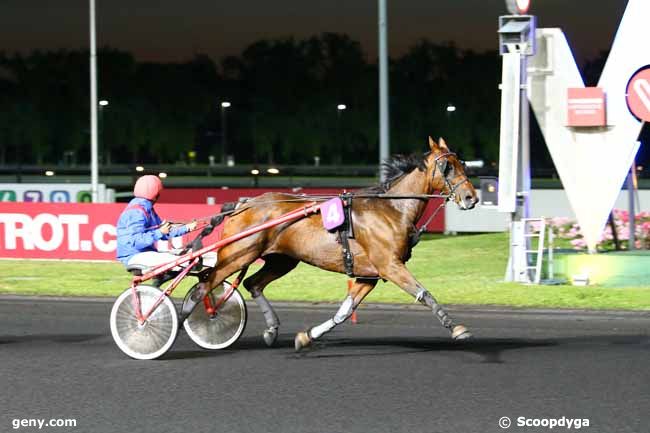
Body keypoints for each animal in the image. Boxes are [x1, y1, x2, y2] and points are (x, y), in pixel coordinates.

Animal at [182, 137, 476, 350]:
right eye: (447, 166)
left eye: (462, 163)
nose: (471, 198)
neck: (391, 209)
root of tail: (243, 203)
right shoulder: (390, 266)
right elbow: (424, 293)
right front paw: (457, 328)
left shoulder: (368, 274)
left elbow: (344, 311)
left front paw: (307, 336)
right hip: (237, 255)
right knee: (202, 288)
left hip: (282, 259)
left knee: (252, 283)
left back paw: (271, 329)